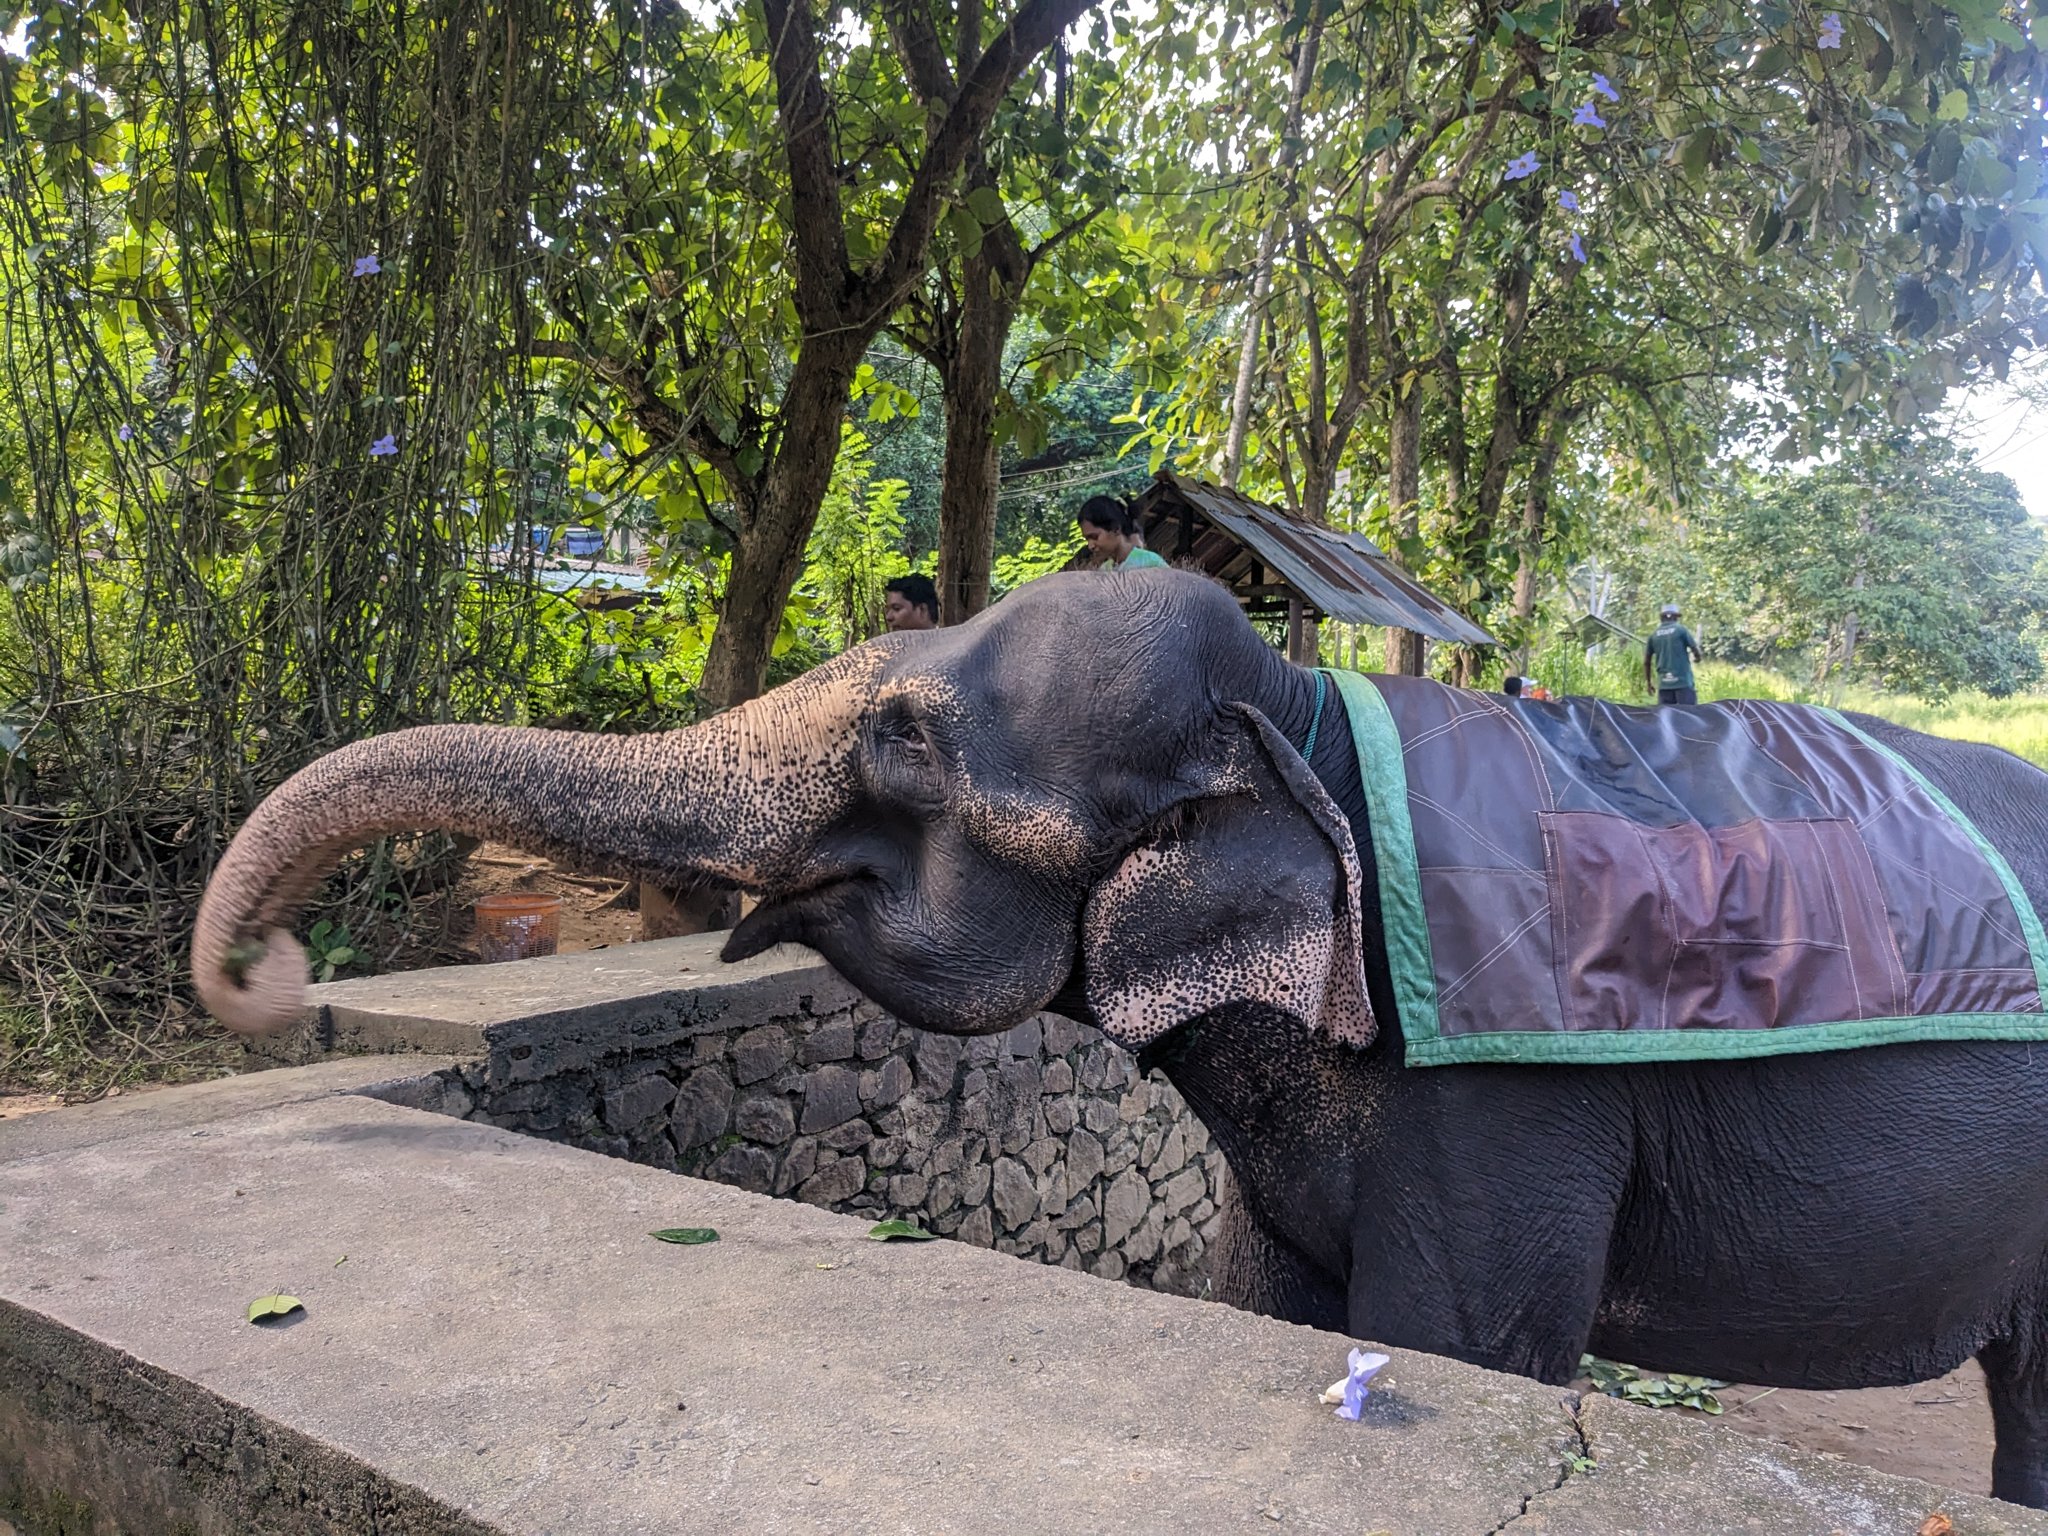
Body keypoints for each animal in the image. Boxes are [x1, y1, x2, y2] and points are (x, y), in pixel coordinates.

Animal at [194, 569, 2048, 1507]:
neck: (1308, 718)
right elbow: (1265, 1299)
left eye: (902, 736)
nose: (272, 973)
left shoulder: (1508, 1104)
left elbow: (1459, 1345)